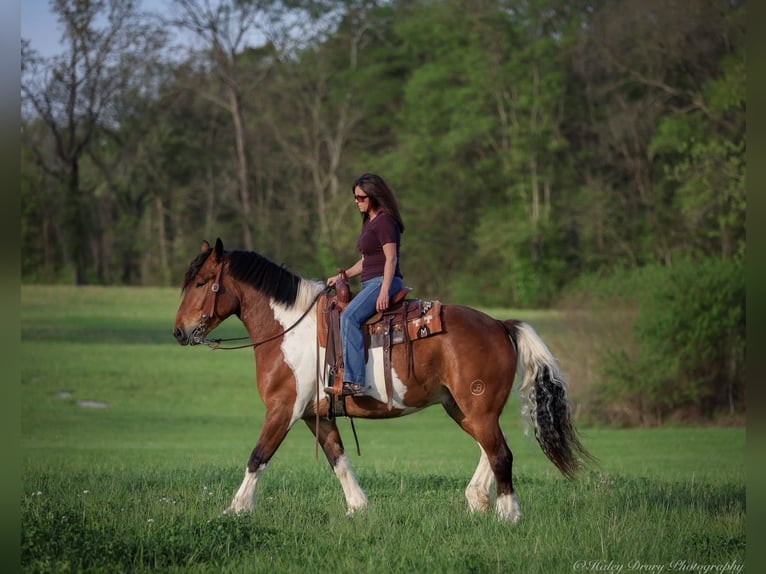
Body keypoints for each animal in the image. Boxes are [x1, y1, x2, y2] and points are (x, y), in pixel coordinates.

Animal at [176, 241, 592, 524]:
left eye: (201, 283)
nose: (179, 332)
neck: (290, 328)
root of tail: (499, 325)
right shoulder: (315, 415)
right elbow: (338, 459)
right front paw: (359, 508)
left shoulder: (284, 409)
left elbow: (257, 457)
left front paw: (235, 509)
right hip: (463, 408)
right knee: (490, 450)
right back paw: (477, 498)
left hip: (477, 407)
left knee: (501, 453)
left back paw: (508, 514)